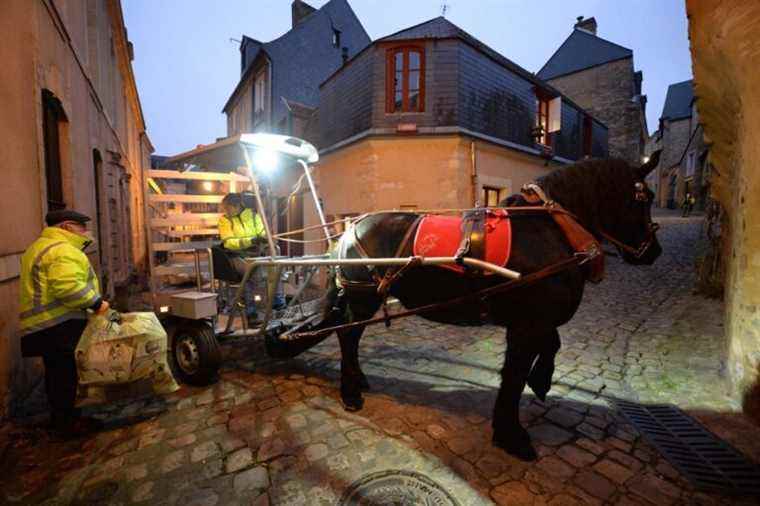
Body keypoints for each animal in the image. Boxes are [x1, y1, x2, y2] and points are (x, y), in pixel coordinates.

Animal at [318, 152, 664, 460]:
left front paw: (541, 381)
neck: (552, 229)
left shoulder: (536, 320)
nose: (654, 252)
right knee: (348, 336)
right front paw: (511, 434)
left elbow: (551, 344)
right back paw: (350, 391)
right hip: (362, 299)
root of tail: (349, 228)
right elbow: (514, 377)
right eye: (644, 197)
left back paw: (358, 379)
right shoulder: (525, 326)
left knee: (352, 337)